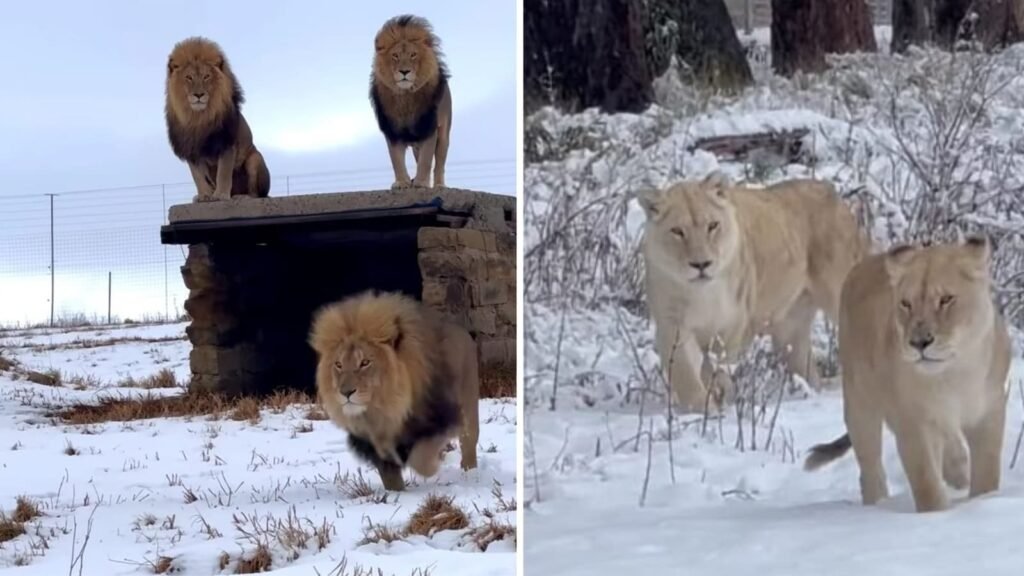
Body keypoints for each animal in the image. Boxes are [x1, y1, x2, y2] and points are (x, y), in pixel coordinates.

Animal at [163, 36, 270, 201]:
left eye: (206, 76)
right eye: (189, 77)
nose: (198, 95)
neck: (197, 118)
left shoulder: (226, 143)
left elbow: (224, 173)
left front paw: (221, 195)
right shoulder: (191, 149)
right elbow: (197, 176)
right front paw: (204, 195)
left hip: (255, 158)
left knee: (257, 194)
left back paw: (242, 196)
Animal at [307, 291, 479, 487]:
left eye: (364, 362)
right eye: (338, 365)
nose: (346, 392)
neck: (386, 409)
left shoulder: (441, 418)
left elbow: (420, 457)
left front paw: (432, 466)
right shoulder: (373, 444)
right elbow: (390, 475)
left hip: (468, 406)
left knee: (468, 442)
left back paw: (469, 473)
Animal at [366, 14, 450, 188]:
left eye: (413, 55)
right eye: (395, 55)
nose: (404, 71)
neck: (405, 98)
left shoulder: (428, 128)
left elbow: (426, 160)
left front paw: (421, 183)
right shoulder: (392, 130)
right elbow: (396, 160)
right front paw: (402, 182)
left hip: (444, 134)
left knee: (439, 163)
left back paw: (439, 185)